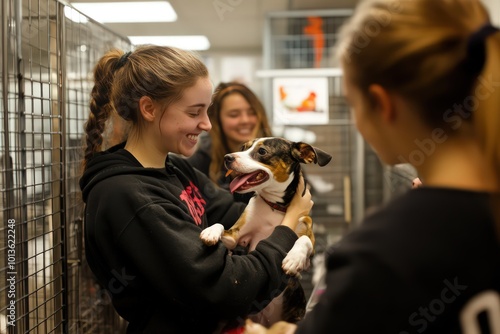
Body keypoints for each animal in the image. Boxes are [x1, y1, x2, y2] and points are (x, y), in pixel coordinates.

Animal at [199, 137, 332, 328]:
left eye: (262, 151)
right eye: (243, 147)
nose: (227, 158)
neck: (274, 207)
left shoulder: (310, 240)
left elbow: (304, 240)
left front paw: (293, 259)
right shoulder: (235, 237)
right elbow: (221, 225)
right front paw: (210, 232)